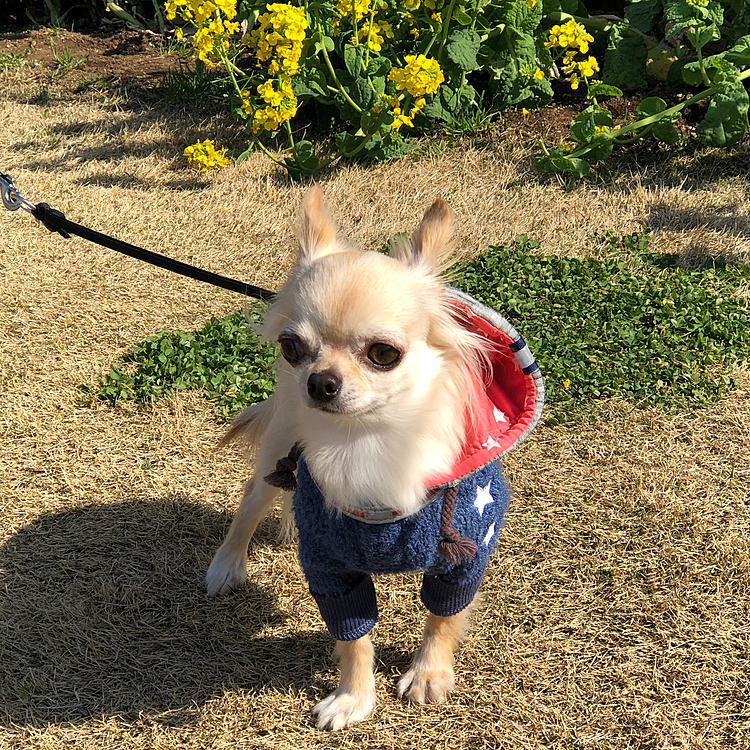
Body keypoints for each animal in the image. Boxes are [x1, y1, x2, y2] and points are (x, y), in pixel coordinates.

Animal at [203, 189, 536, 736]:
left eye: (383, 353)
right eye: (291, 346)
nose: (319, 381)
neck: (368, 441)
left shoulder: (465, 552)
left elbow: (443, 617)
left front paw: (429, 674)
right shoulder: (330, 568)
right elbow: (353, 637)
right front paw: (353, 698)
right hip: (281, 444)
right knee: (252, 503)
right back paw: (227, 564)